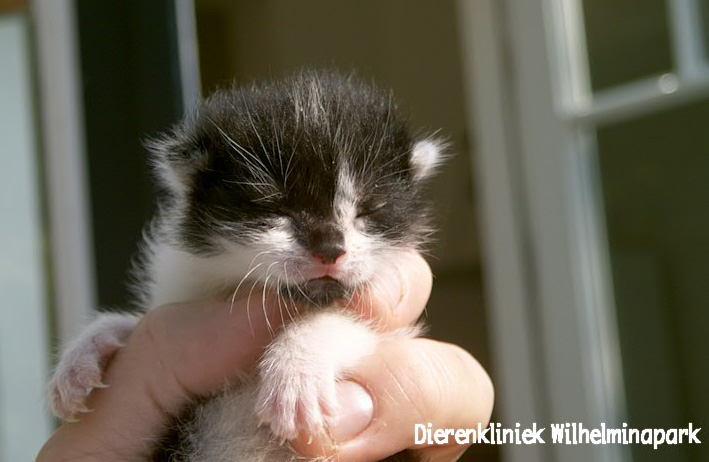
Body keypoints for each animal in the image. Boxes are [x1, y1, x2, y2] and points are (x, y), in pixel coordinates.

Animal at [48, 70, 442, 460]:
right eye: (273, 207)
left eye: (368, 210)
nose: (330, 249)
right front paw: (82, 354)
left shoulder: (395, 331)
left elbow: (351, 322)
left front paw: (297, 373)